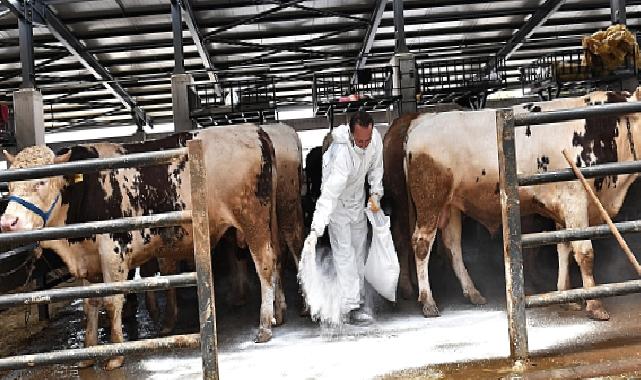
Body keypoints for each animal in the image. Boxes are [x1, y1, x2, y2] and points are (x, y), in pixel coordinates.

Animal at [0, 126, 284, 370]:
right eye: (10, 186)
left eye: (42, 182)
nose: (8, 222)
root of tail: (253, 131)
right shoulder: (88, 262)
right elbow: (90, 305)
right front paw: (88, 353)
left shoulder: (113, 252)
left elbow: (112, 301)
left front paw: (115, 354)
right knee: (276, 259)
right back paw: (279, 313)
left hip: (252, 219)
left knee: (265, 264)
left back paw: (264, 327)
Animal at [396, 90, 640, 320]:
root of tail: (423, 120)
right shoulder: (575, 201)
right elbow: (584, 252)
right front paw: (595, 305)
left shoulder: (563, 209)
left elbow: (564, 248)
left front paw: (567, 296)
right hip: (430, 202)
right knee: (421, 244)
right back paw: (428, 301)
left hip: (451, 205)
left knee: (453, 245)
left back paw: (472, 292)